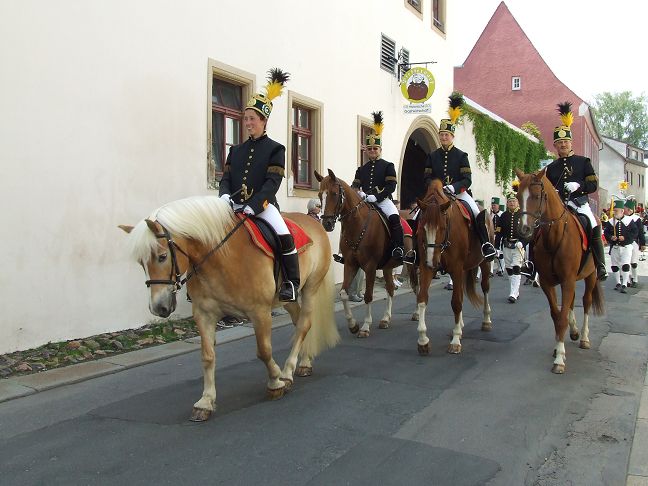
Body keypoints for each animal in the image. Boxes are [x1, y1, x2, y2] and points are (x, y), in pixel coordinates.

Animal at [119, 196, 340, 420]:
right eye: (141, 262)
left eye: (162, 256)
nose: (158, 307)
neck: (222, 257)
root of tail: (314, 223)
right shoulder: (204, 314)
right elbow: (207, 356)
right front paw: (205, 402)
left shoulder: (260, 312)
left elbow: (264, 351)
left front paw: (276, 381)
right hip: (288, 299)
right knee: (298, 322)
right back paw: (304, 361)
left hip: (310, 288)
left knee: (304, 324)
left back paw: (288, 371)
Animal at [316, 170, 408, 338]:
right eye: (320, 195)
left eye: (334, 193)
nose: (326, 224)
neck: (358, 224)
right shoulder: (350, 264)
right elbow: (343, 293)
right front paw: (353, 325)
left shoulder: (370, 266)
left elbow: (368, 295)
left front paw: (365, 326)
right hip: (387, 267)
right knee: (390, 288)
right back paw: (385, 319)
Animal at [412, 180, 494, 356]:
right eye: (421, 227)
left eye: (442, 228)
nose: (433, 262)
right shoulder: (426, 267)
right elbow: (422, 299)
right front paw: (423, 341)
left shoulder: (456, 267)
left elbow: (456, 302)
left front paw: (455, 341)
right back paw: (461, 325)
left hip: (484, 263)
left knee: (485, 288)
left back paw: (486, 321)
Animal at [512, 167, 604, 372]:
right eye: (518, 195)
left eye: (537, 196)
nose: (524, 230)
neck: (554, 237)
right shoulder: (548, 282)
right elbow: (556, 315)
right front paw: (558, 348)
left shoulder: (568, 281)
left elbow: (562, 317)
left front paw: (560, 359)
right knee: (571, 303)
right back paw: (575, 331)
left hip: (591, 275)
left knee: (586, 301)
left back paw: (584, 337)